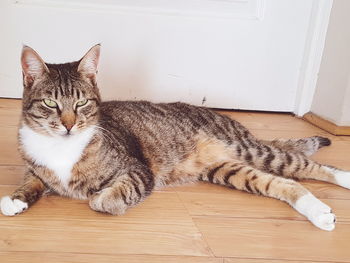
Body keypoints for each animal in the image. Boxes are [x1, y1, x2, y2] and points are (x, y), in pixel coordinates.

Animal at [0, 45, 350, 233]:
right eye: (50, 103)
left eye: (82, 102)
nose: (69, 126)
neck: (60, 148)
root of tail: (238, 126)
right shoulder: (36, 166)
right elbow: (32, 180)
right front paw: (16, 199)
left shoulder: (136, 170)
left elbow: (111, 196)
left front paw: (101, 198)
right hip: (226, 170)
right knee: (283, 183)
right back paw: (318, 211)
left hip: (250, 151)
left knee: (306, 168)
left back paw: (341, 183)